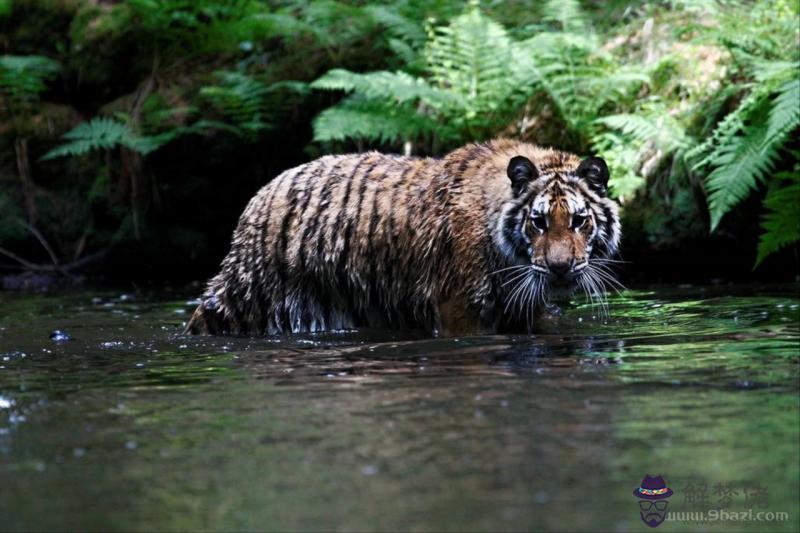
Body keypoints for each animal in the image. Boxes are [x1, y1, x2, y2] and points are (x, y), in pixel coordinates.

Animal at [184, 138, 620, 336]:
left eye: (579, 221)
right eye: (539, 222)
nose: (560, 268)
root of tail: (258, 197)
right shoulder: (460, 308)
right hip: (246, 298)